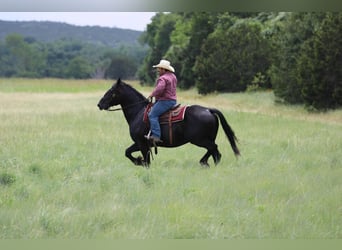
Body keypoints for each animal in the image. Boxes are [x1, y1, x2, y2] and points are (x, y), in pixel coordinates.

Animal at [97, 79, 239, 167]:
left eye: (112, 91)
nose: (100, 104)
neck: (138, 112)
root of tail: (208, 110)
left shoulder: (142, 143)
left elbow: (144, 161)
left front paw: (139, 161)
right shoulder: (140, 143)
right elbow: (127, 152)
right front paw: (139, 161)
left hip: (200, 140)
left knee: (214, 149)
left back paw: (203, 162)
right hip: (206, 139)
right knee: (215, 153)